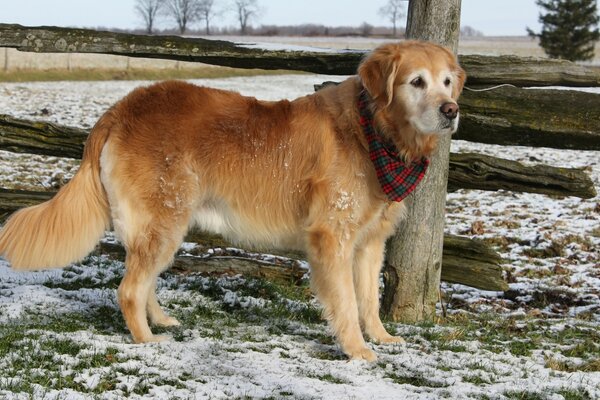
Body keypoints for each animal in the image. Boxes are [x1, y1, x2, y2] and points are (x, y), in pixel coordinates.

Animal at [0, 40, 464, 362]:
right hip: (164, 218)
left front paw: (382, 337)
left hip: (164, 222)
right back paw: (147, 338)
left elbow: (368, 298)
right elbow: (348, 303)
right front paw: (357, 350)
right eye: (416, 82)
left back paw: (159, 319)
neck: (373, 133)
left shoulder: (369, 243)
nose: (451, 110)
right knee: (129, 289)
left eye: (447, 81)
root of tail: (121, 107)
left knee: (141, 279)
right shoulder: (332, 237)